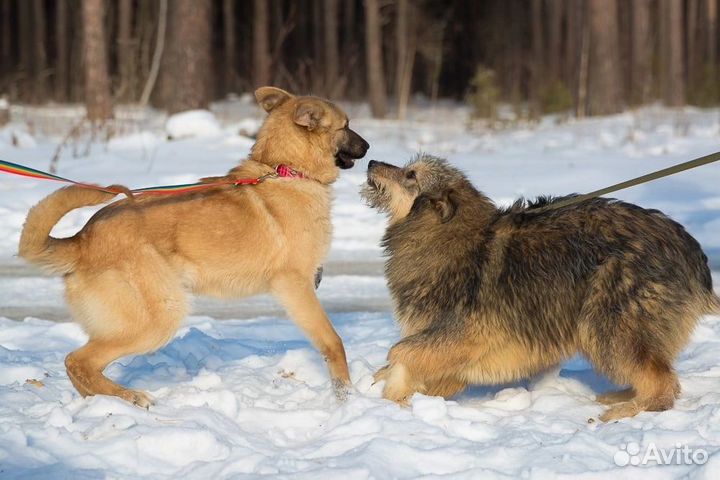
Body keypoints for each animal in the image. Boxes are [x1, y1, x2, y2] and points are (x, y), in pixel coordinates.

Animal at [19, 86, 368, 404]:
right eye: (346, 125)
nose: (368, 147)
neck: (286, 170)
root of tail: (83, 239)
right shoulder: (295, 286)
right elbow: (333, 342)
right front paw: (345, 396)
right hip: (159, 317)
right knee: (78, 362)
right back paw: (128, 398)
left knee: (82, 369)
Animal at [362, 154, 716, 420]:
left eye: (410, 174)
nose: (371, 161)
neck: (448, 234)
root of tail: (689, 249)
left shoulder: (462, 333)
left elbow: (402, 352)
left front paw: (390, 390)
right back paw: (621, 396)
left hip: (608, 324)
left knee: (662, 384)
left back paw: (629, 410)